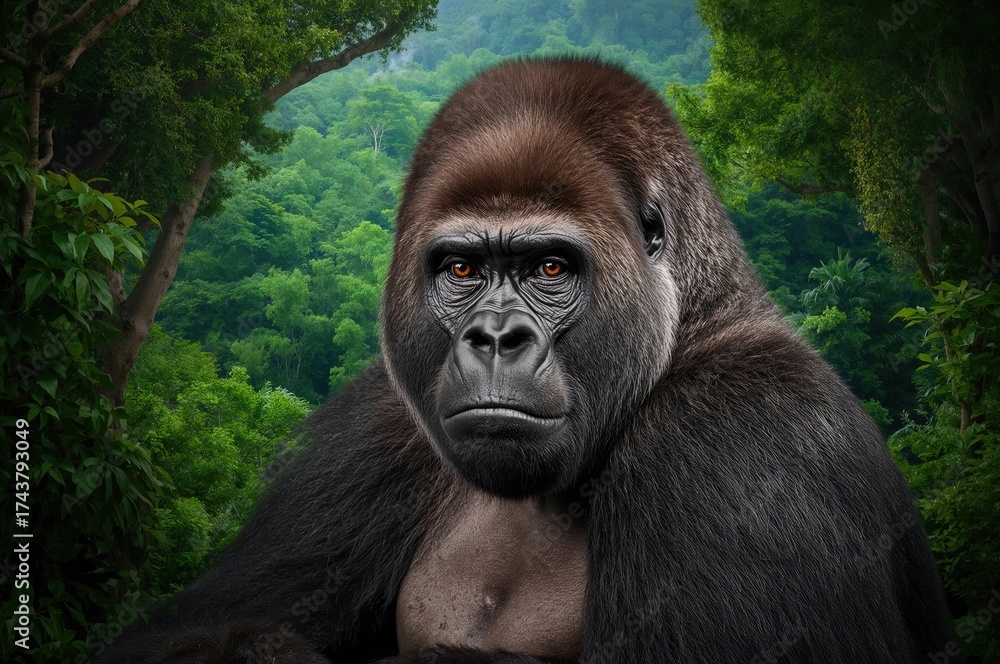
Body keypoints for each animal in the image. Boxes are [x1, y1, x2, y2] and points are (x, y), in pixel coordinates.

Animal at [103, 57, 955, 664]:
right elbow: (179, 633)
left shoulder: (745, 439)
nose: (495, 338)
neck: (695, 320)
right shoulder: (382, 421)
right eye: (462, 270)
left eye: (549, 267)